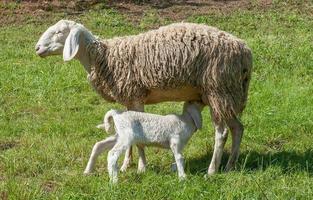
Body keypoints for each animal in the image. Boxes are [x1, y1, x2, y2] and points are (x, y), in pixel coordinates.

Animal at [35, 19, 252, 175]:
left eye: (59, 32)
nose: (37, 48)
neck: (103, 58)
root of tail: (245, 52)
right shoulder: (128, 99)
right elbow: (129, 137)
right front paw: (126, 165)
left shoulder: (136, 96)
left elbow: (138, 140)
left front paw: (141, 167)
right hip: (227, 94)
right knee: (238, 128)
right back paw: (230, 165)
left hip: (218, 89)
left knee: (222, 133)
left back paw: (212, 170)